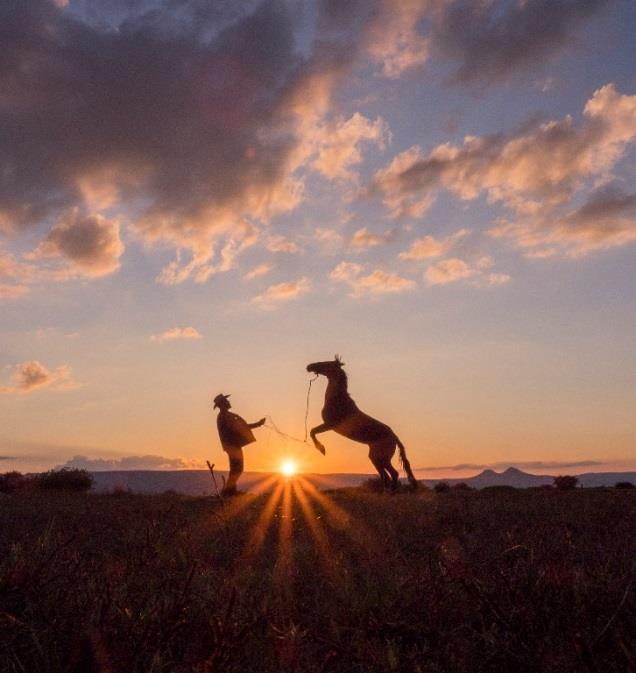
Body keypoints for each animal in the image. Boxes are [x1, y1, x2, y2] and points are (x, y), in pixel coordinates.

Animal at [306, 354, 418, 490]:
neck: (338, 400)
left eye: (326, 363)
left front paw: (322, 450)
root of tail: (394, 437)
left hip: (381, 458)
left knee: (392, 474)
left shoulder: (330, 425)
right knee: (386, 476)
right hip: (376, 458)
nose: (309, 366)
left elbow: (312, 431)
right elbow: (312, 431)